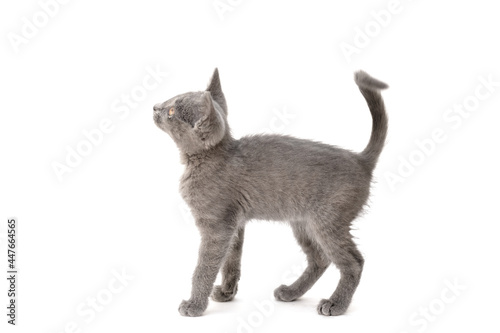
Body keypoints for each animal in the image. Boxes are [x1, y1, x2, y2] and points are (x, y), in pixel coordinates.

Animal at [152, 68, 386, 316]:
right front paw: (226, 293)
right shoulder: (235, 223)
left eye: (171, 111)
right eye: (169, 102)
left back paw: (336, 303)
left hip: (329, 221)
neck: (203, 161)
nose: (155, 107)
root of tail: (361, 160)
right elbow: (231, 261)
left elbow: (204, 267)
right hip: (302, 222)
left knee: (354, 261)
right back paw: (292, 291)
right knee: (320, 258)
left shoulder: (217, 226)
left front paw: (194, 305)